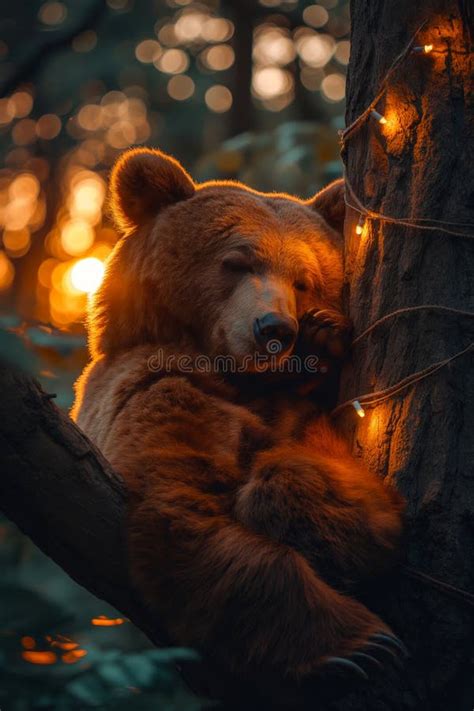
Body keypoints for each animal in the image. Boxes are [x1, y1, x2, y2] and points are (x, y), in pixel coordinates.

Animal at [72, 148, 404, 692]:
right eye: (236, 262)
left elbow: (335, 474)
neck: (237, 376)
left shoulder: (303, 410)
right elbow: (187, 510)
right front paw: (361, 646)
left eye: (303, 280)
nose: (275, 328)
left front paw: (324, 335)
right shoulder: (154, 391)